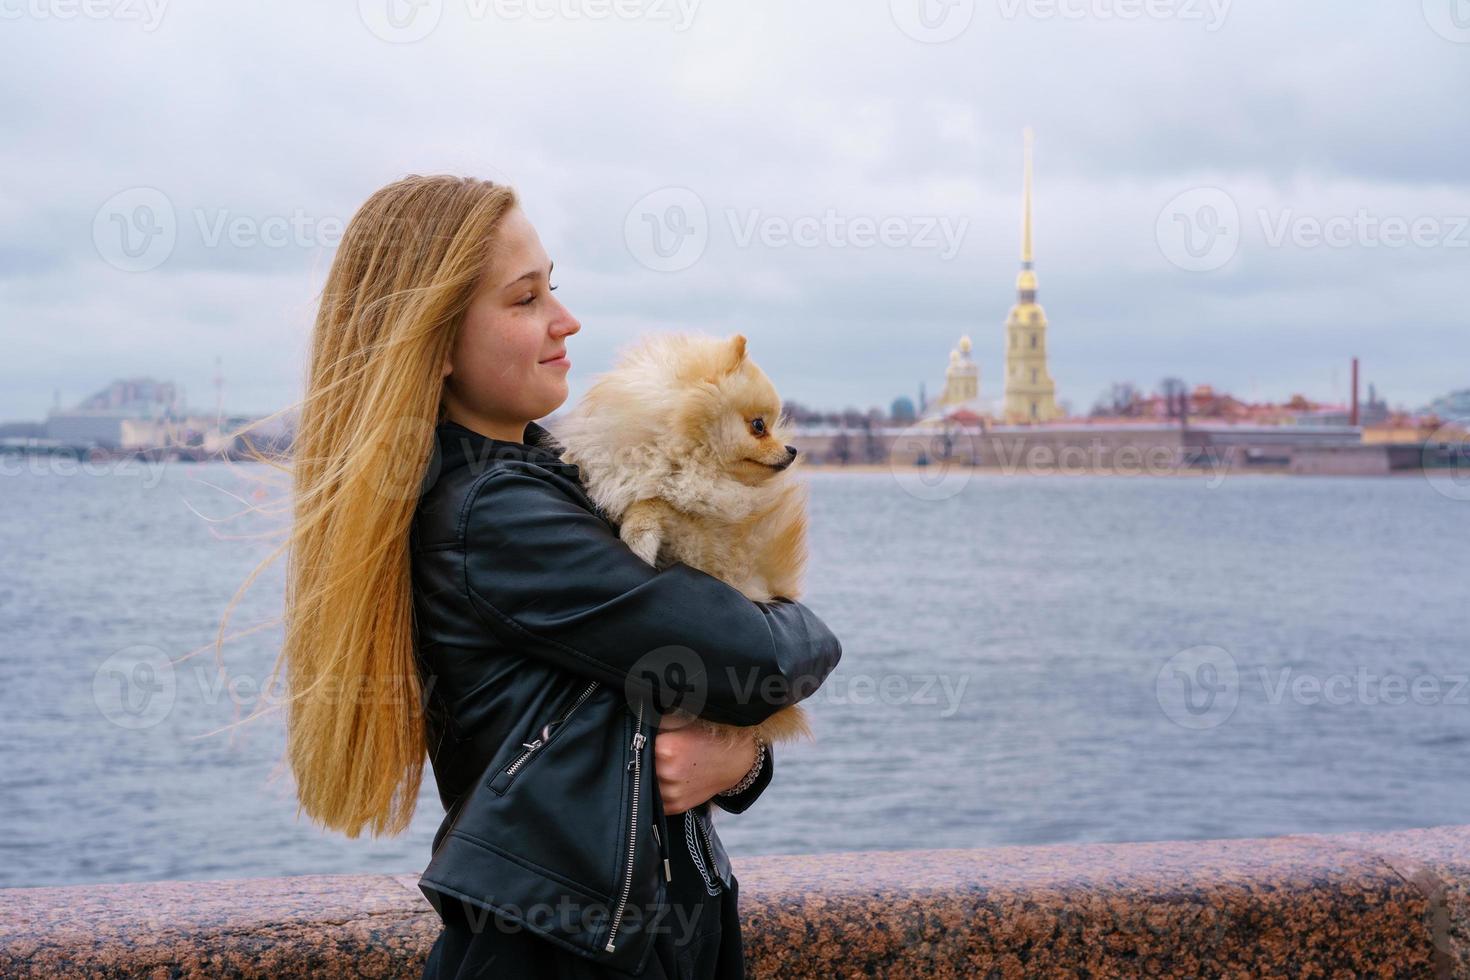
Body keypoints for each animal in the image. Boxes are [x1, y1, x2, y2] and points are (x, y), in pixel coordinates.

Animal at [546, 332, 811, 752]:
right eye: (758, 426)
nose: (792, 450)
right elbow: (647, 496)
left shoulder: (704, 533)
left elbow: (656, 503)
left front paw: (637, 537)